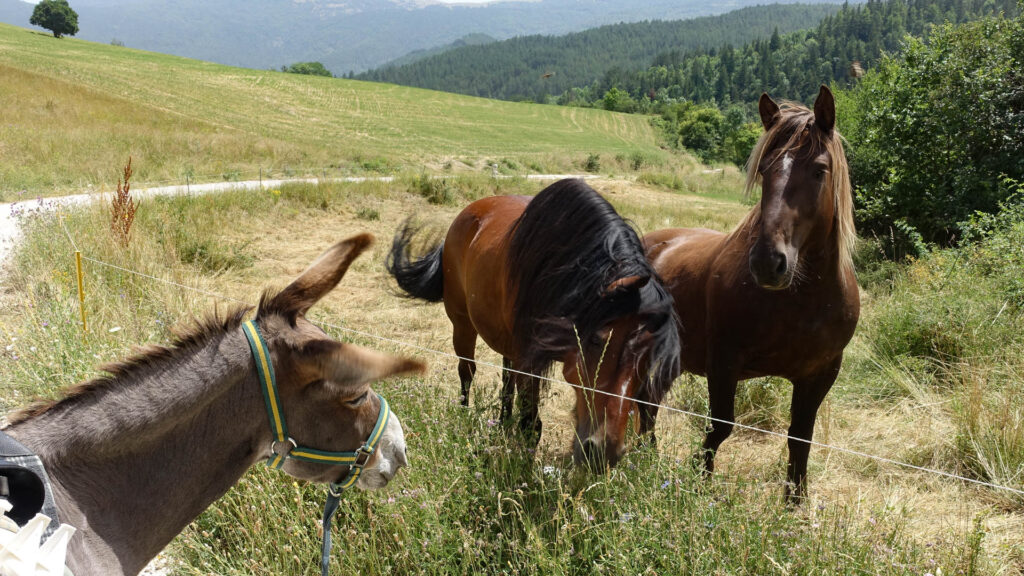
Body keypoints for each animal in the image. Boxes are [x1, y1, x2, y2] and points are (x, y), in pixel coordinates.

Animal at [389, 179, 679, 467]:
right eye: (598, 340)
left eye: (650, 355)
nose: (604, 452)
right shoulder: (530, 360)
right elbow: (531, 426)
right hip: (462, 324)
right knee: (467, 371)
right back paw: (463, 417)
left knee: (506, 376)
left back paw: (503, 423)